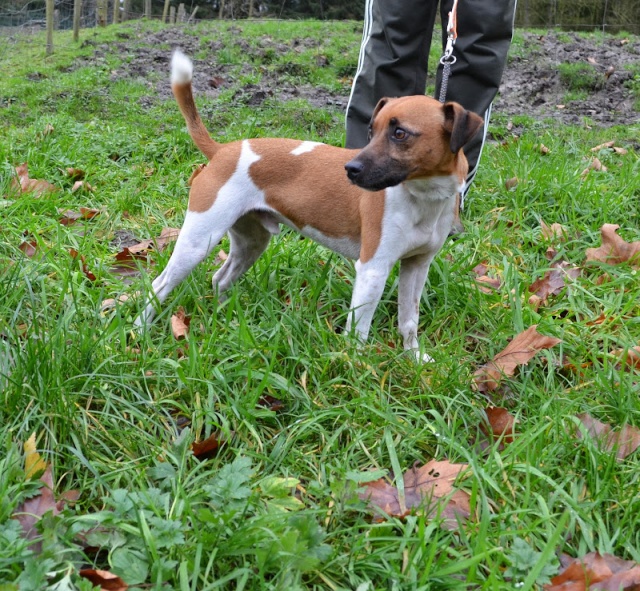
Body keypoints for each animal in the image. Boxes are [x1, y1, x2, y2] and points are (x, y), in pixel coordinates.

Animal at [136, 51, 484, 364]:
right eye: (371, 131)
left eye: (400, 133)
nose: (351, 169)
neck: (422, 198)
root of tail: (222, 151)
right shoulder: (373, 269)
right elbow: (358, 330)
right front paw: (356, 367)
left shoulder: (417, 266)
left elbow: (408, 320)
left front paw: (414, 358)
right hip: (198, 241)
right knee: (159, 285)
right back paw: (139, 333)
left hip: (252, 242)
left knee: (221, 279)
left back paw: (224, 317)